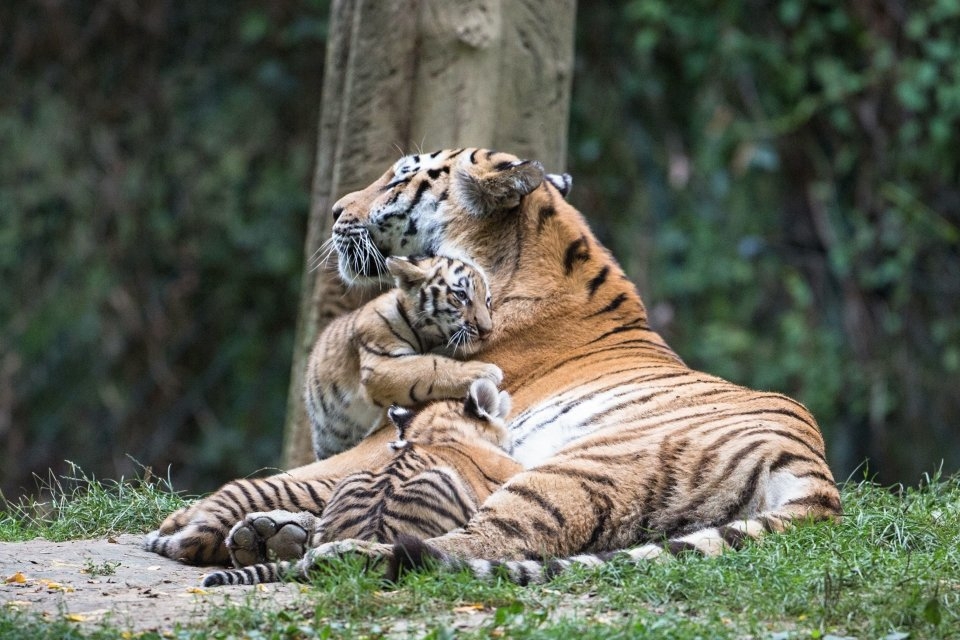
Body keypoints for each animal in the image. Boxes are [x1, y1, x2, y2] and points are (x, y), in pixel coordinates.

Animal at [144, 150, 840, 576]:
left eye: (398, 178)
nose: (337, 211)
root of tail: (816, 470)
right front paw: (242, 527)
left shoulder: (387, 439)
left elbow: (267, 479)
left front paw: (182, 527)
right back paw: (277, 537)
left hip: (577, 467)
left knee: (468, 544)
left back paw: (324, 554)